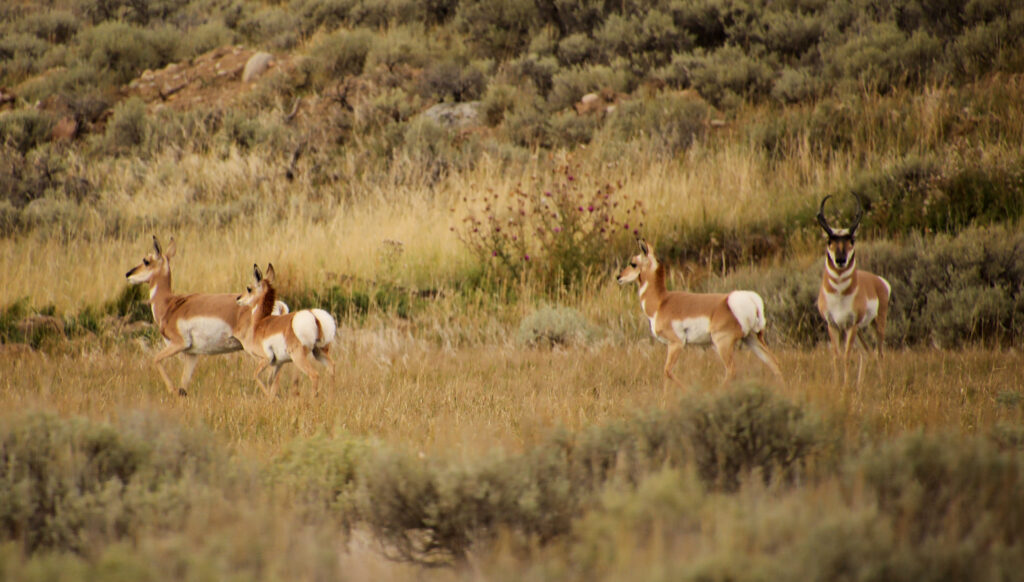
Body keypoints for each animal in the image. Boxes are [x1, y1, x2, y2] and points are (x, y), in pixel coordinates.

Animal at [127, 235, 290, 395]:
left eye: (146, 260)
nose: (128, 274)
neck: (170, 304)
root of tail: (278, 305)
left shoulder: (178, 344)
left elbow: (155, 359)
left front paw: (172, 390)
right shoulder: (192, 354)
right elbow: (184, 383)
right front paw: (180, 393)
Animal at [234, 264, 335, 397]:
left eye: (249, 288)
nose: (238, 298)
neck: (260, 322)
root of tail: (314, 316)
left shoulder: (266, 359)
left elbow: (256, 376)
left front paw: (268, 396)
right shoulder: (278, 363)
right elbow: (272, 381)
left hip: (298, 357)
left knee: (315, 375)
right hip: (320, 352)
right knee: (331, 369)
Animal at [614, 238, 782, 383]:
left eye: (633, 263)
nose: (618, 277)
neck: (661, 302)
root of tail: (749, 299)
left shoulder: (676, 344)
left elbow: (667, 371)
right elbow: (666, 375)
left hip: (722, 343)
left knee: (732, 370)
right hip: (751, 338)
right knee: (774, 364)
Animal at [815, 194, 888, 381]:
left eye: (852, 240)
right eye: (829, 240)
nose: (840, 259)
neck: (839, 295)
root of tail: (879, 281)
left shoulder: (851, 325)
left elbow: (847, 356)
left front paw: (846, 385)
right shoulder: (833, 325)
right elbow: (836, 356)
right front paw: (838, 384)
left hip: (877, 323)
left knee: (879, 353)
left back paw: (882, 383)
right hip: (860, 330)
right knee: (867, 353)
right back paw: (859, 385)